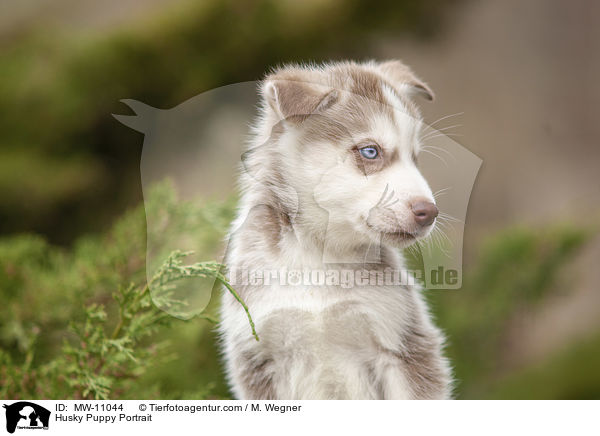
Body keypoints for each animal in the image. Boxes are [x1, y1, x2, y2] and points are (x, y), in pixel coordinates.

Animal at [219, 61, 450, 398]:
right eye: (370, 151)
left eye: (415, 157)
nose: (429, 213)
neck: (316, 255)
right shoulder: (257, 359)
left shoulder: (403, 341)